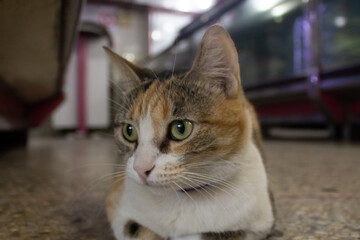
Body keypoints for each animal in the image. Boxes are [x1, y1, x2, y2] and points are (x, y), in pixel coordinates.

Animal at [105, 24, 274, 240]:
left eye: (181, 128)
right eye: (129, 131)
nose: (140, 168)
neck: (183, 197)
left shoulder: (259, 223)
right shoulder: (116, 205)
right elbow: (137, 229)